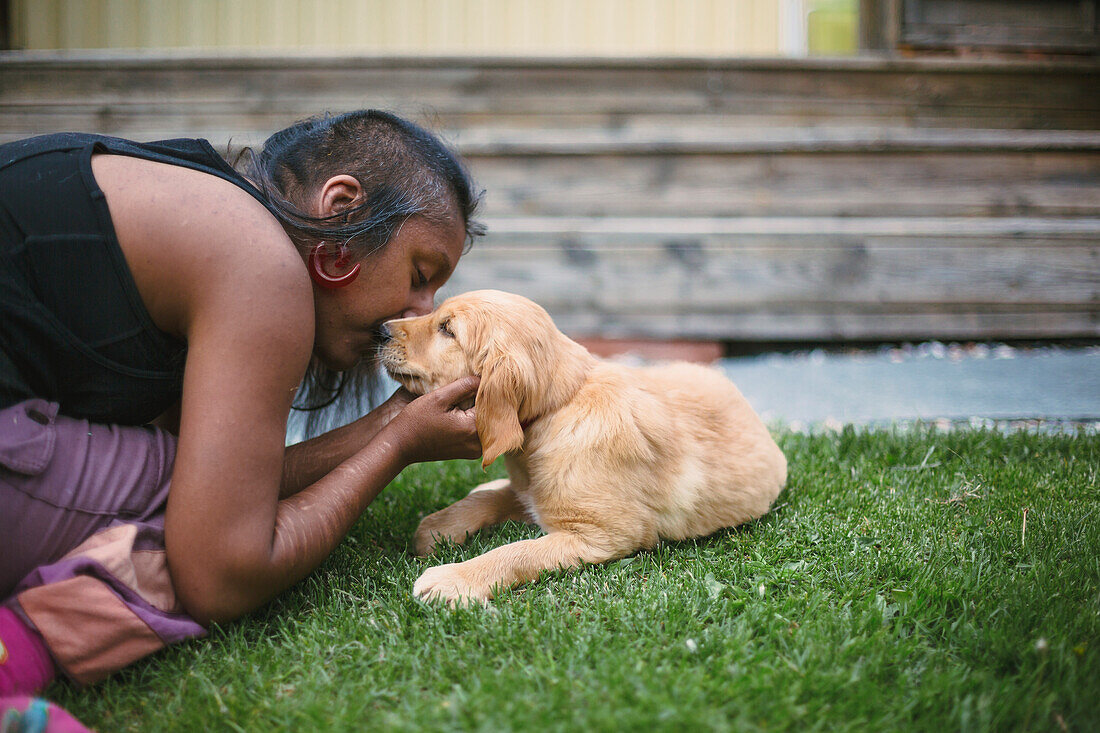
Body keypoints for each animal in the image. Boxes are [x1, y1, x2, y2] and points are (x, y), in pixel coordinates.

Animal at [382, 288, 787, 603]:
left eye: (447, 330)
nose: (381, 329)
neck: (560, 403)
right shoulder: (536, 493)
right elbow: (493, 498)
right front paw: (437, 528)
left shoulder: (601, 534)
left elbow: (517, 550)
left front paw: (452, 578)